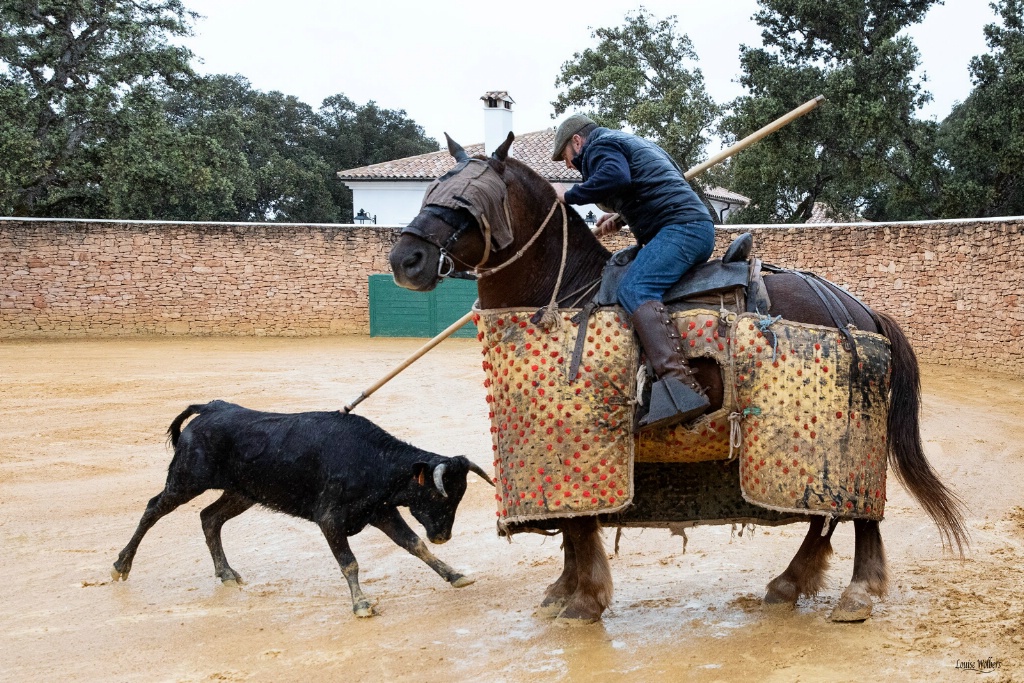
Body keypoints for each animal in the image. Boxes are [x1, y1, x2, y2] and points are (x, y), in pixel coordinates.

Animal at [385, 132, 966, 626]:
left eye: (464, 203)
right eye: (427, 193)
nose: (405, 259)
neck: (566, 291)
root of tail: (859, 310)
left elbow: (579, 526)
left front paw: (585, 600)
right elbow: (573, 526)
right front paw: (564, 590)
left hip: (847, 442)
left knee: (859, 512)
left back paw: (856, 593)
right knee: (823, 517)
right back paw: (789, 584)